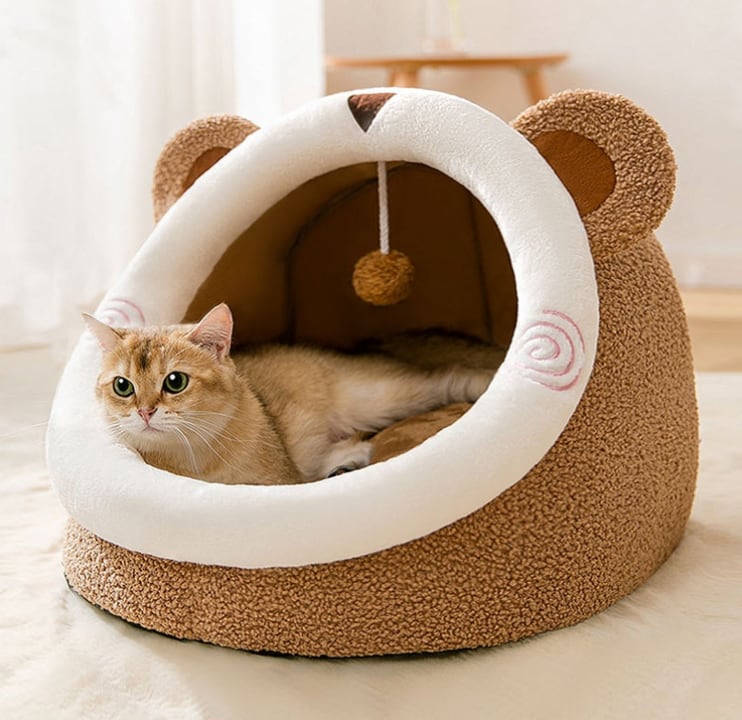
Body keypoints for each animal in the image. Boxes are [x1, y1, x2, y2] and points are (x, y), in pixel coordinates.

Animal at [84, 303, 500, 485]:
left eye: (174, 382)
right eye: (123, 386)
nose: (145, 412)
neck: (193, 460)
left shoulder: (279, 483)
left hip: (380, 397)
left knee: (444, 377)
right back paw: (346, 461)